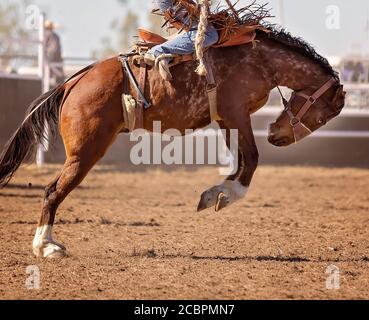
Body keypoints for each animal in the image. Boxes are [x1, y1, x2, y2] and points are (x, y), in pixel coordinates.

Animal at [0, 26, 344, 258]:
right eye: (322, 117)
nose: (278, 137)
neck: (258, 59)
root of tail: (72, 82)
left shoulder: (227, 119)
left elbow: (242, 160)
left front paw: (216, 193)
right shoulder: (236, 113)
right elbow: (252, 158)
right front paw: (226, 195)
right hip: (85, 152)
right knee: (53, 190)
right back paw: (45, 246)